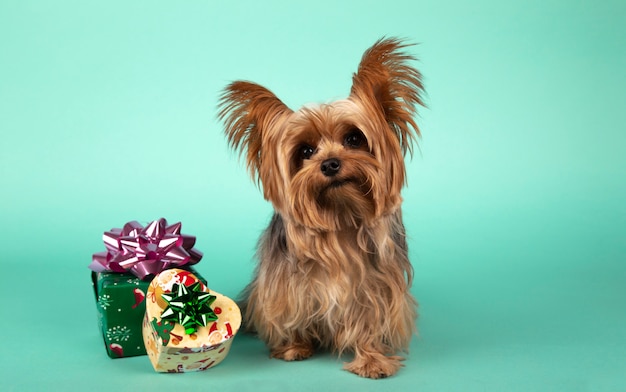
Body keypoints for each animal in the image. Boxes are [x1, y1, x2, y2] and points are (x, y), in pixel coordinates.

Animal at [217, 38, 422, 378]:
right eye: (306, 151)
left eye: (354, 138)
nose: (329, 164)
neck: (340, 217)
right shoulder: (286, 286)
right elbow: (290, 311)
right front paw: (293, 347)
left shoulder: (377, 286)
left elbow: (371, 318)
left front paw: (371, 359)